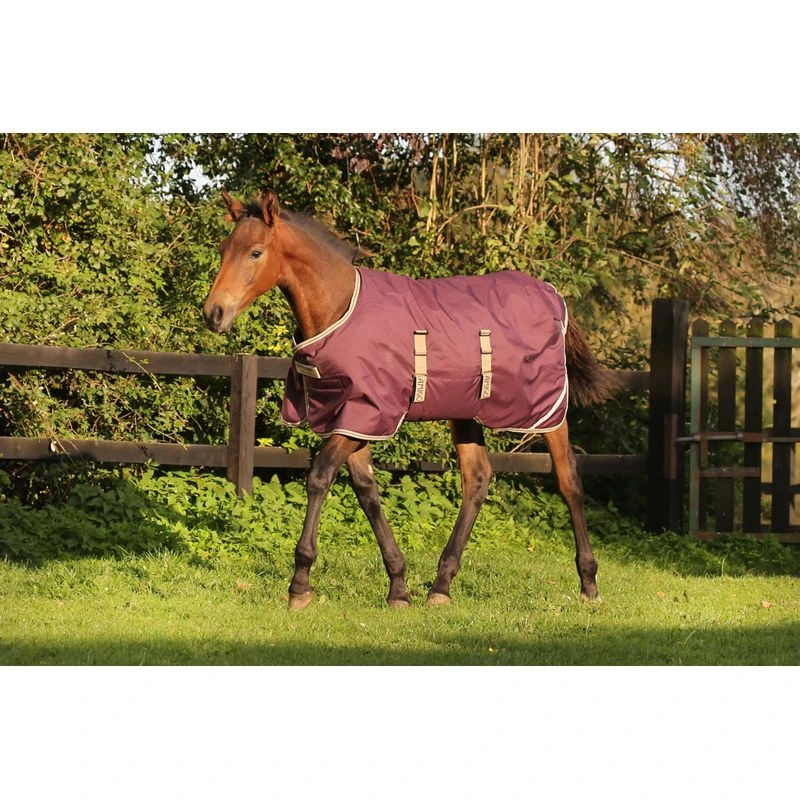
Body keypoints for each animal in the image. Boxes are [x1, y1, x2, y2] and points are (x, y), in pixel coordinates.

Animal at [203, 188, 608, 609]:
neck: (339, 308)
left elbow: (319, 477)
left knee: (568, 480)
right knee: (477, 479)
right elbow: (367, 491)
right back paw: (441, 586)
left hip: (547, 411)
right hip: (465, 413)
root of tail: (552, 295)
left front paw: (300, 584)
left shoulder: (366, 415)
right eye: (223, 248)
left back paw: (589, 583)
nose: (213, 313)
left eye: (256, 252)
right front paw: (398, 585)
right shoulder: (352, 420)